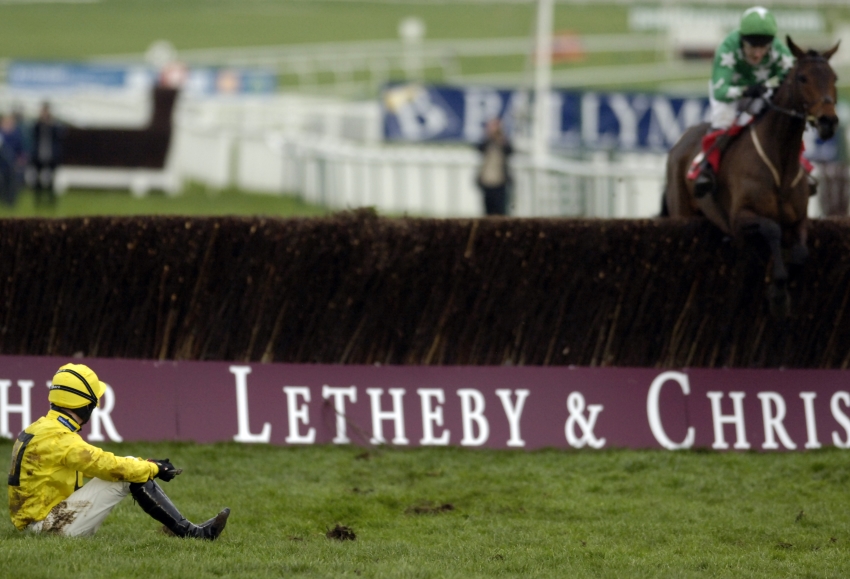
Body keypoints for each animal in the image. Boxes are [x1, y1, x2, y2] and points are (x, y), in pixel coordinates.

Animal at [664, 35, 840, 318]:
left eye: (834, 77)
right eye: (802, 77)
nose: (828, 122)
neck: (780, 164)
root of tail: (682, 140)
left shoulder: (800, 219)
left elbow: (801, 253)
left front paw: (784, 281)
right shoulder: (740, 218)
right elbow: (772, 229)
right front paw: (778, 291)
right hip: (681, 212)